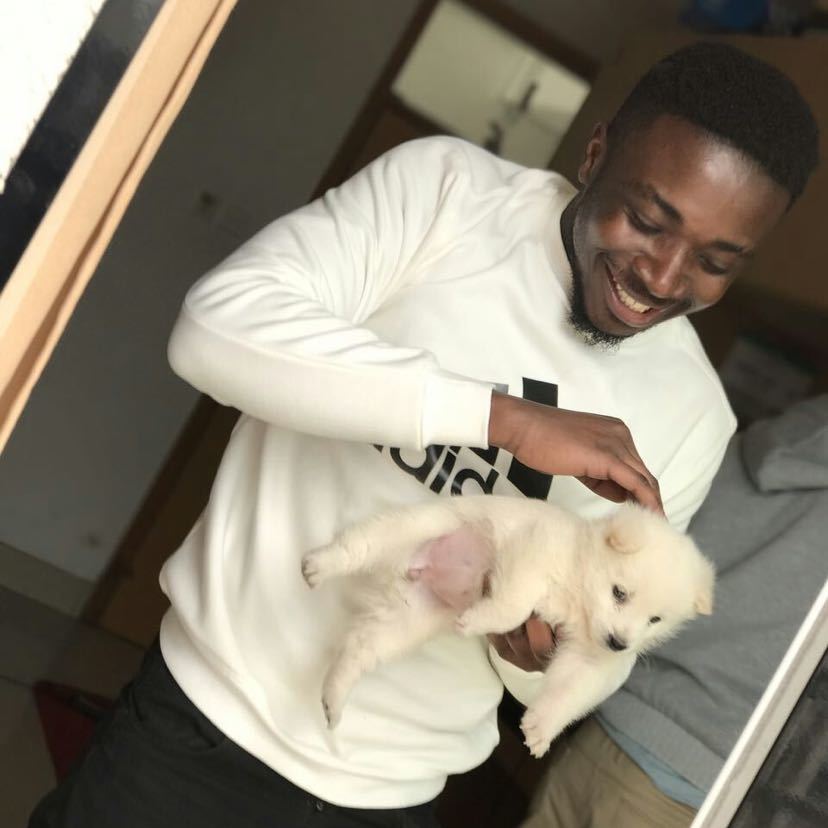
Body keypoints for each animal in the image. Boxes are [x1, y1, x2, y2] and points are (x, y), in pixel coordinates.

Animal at [301, 495, 714, 757]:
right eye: (620, 593)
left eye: (655, 620)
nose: (618, 643)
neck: (579, 591)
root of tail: (419, 567)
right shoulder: (531, 557)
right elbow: (513, 607)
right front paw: (479, 620)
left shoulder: (589, 661)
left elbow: (568, 697)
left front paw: (542, 728)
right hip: (413, 527)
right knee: (359, 546)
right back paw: (320, 564)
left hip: (407, 618)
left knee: (359, 648)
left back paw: (333, 700)